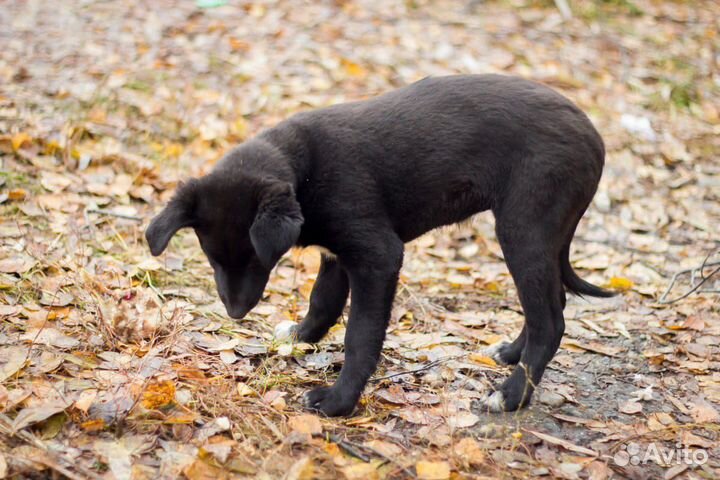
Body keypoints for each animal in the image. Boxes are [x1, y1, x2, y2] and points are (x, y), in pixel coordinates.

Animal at [146, 74, 612, 416]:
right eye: (212, 259)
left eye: (254, 259)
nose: (235, 313)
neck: (304, 171)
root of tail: (594, 136)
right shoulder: (338, 253)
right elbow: (323, 302)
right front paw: (299, 336)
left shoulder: (378, 255)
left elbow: (360, 334)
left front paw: (338, 401)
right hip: (541, 236)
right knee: (550, 304)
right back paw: (513, 353)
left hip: (523, 226)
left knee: (550, 320)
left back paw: (512, 395)